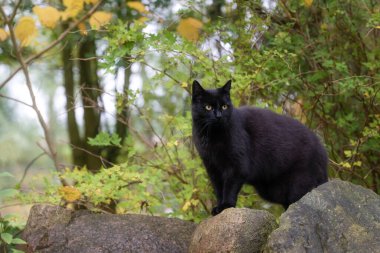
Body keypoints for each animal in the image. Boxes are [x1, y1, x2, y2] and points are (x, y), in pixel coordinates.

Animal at [191, 80, 328, 214]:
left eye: (224, 106)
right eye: (208, 107)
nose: (218, 116)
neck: (212, 136)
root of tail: (322, 148)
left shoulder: (237, 166)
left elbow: (229, 188)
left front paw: (226, 206)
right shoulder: (212, 168)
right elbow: (218, 189)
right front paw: (218, 207)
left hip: (300, 184)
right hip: (274, 191)